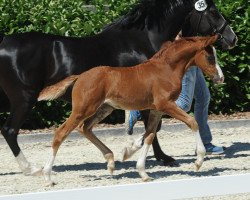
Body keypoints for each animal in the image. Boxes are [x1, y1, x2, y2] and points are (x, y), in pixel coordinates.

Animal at [38, 34, 223, 186]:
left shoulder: (156, 109)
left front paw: (142, 172)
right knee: (61, 133)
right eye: (210, 57)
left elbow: (149, 135)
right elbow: (192, 122)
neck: (166, 69)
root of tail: (80, 76)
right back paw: (47, 177)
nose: (220, 78)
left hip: (104, 108)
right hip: (83, 109)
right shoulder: (166, 104)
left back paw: (111, 161)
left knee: (85, 128)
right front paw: (199, 161)